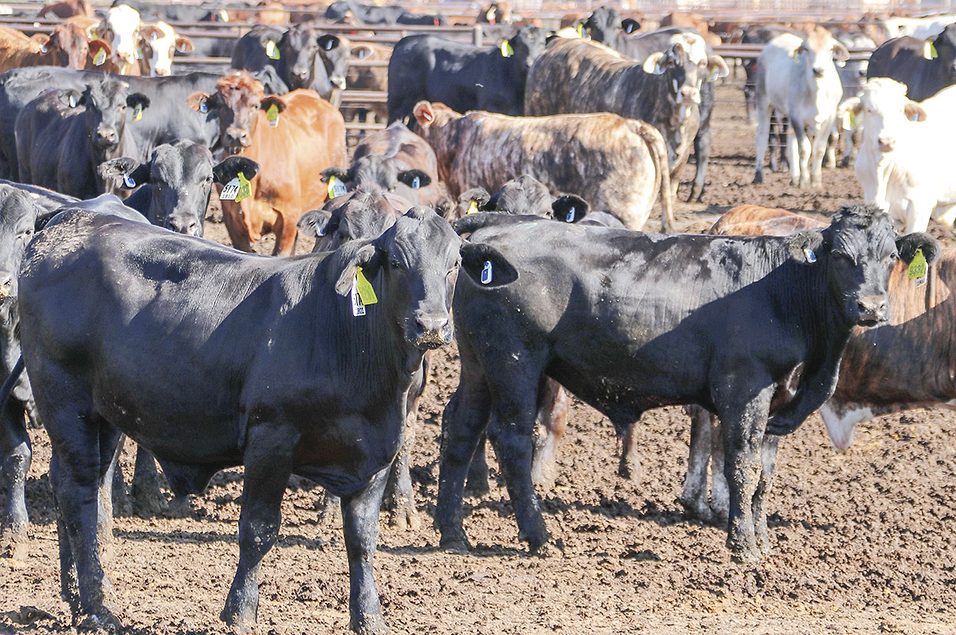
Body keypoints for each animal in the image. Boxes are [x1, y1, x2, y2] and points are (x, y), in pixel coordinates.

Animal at [13, 202, 481, 632]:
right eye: (398, 263)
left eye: (454, 264)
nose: (430, 325)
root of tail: (68, 219)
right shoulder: (271, 437)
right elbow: (258, 529)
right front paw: (239, 611)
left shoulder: (376, 453)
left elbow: (363, 540)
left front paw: (369, 618)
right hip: (64, 398)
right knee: (77, 491)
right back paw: (96, 609)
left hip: (104, 413)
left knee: (82, 487)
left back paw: (78, 595)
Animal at [387, 27, 550, 123]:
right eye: (521, 45)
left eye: (542, 43)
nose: (529, 63)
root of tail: (406, 40)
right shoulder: (491, 107)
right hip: (398, 104)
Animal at [436, 205, 936, 562]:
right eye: (839, 256)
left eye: (891, 256)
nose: (870, 307)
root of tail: (499, 223)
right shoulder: (744, 387)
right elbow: (742, 466)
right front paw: (744, 546)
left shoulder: (778, 399)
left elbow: (765, 473)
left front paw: (762, 538)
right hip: (515, 361)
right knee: (511, 438)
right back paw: (540, 538)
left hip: (479, 362)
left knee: (461, 426)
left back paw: (453, 533)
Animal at [753, 28, 849, 188]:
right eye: (807, 49)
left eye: (830, 49)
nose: (818, 70)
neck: (817, 92)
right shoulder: (797, 117)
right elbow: (804, 149)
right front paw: (805, 182)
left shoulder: (829, 118)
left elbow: (819, 149)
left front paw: (815, 182)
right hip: (763, 100)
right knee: (762, 135)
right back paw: (758, 175)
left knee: (791, 140)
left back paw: (795, 177)